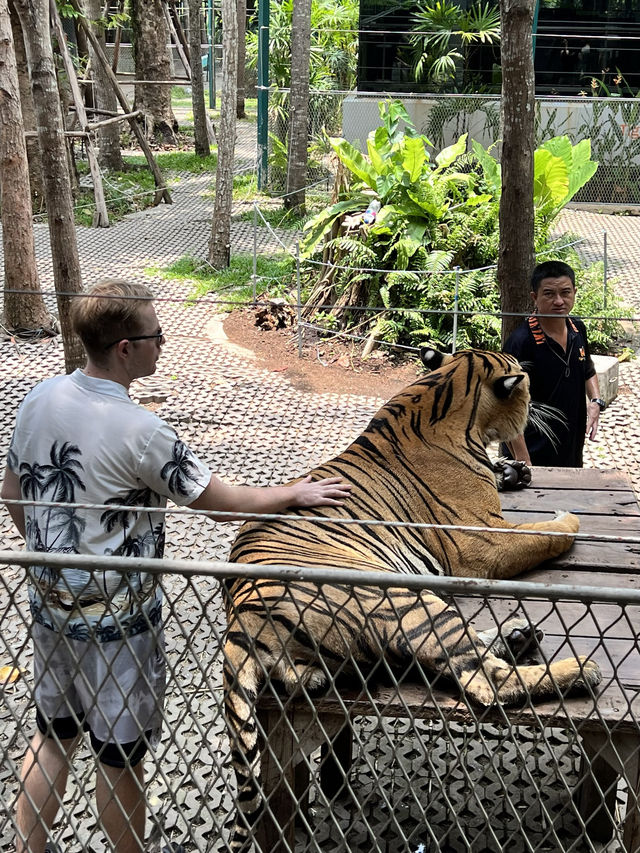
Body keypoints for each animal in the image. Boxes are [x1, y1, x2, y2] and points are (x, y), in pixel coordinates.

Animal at [222, 344, 604, 844]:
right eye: (524, 385)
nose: (533, 406)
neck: (444, 388)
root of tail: (241, 620)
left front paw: (515, 471)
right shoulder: (483, 540)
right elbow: (549, 533)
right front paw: (566, 516)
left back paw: (521, 637)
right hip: (411, 600)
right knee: (484, 682)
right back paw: (580, 668)